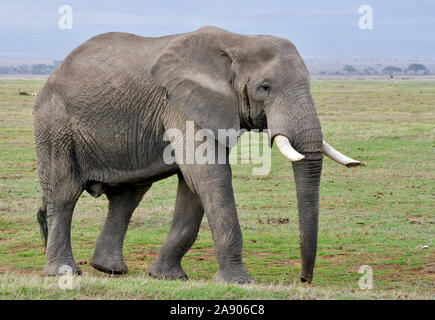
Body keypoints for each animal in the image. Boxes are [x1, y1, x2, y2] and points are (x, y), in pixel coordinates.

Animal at [33, 26, 362, 284]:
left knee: (127, 197)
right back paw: (64, 272)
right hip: (55, 124)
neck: (238, 41)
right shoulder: (180, 104)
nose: (304, 279)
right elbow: (209, 175)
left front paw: (167, 277)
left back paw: (108, 269)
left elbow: (194, 186)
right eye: (265, 87)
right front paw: (239, 283)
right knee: (64, 193)